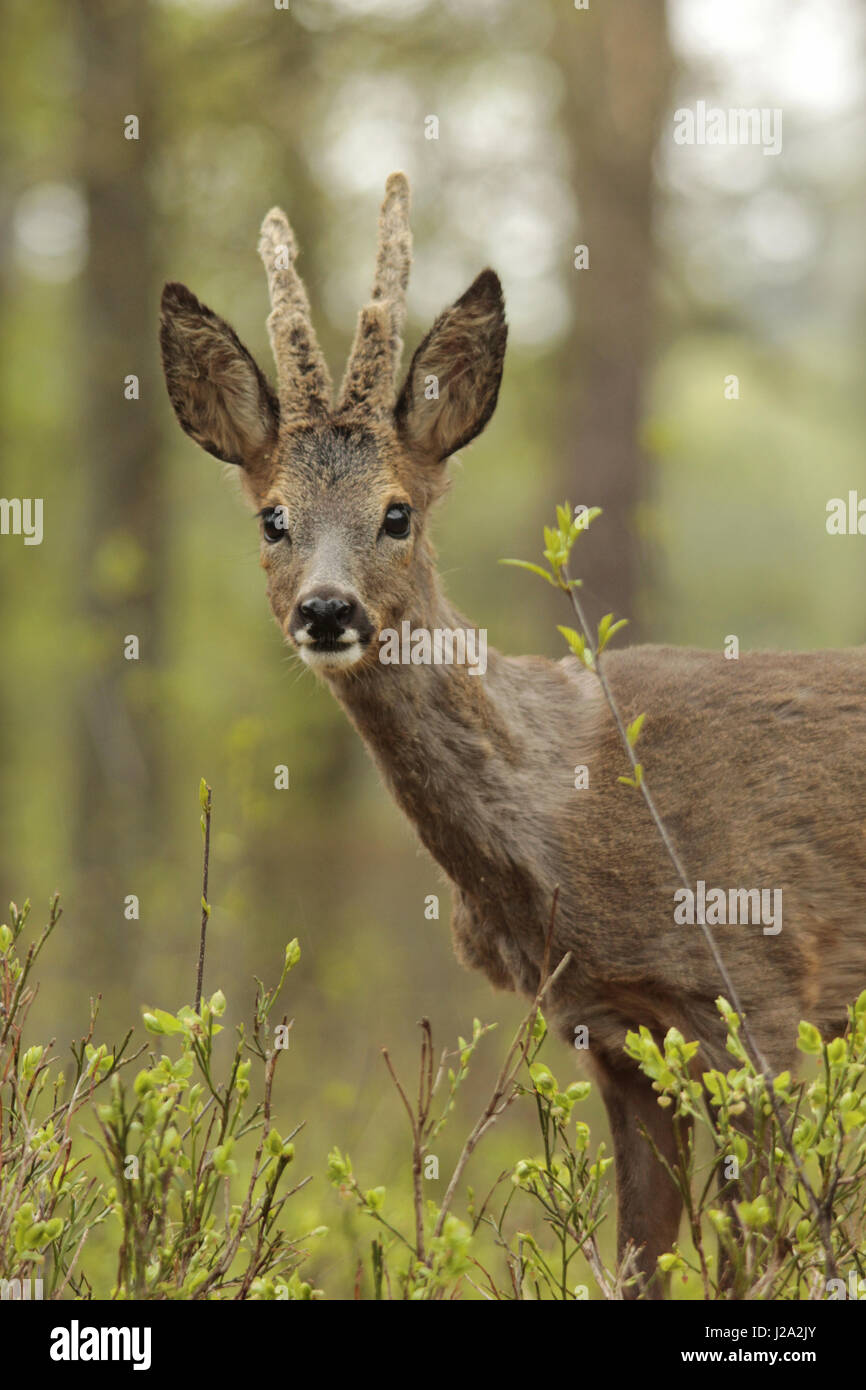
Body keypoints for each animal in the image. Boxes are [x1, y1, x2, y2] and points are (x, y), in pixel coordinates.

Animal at [159, 170, 866, 1289]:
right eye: (272, 517)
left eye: (397, 512)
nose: (327, 610)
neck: (565, 813)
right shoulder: (608, 1031)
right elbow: (636, 1260)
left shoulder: (761, 991)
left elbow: (753, 1258)